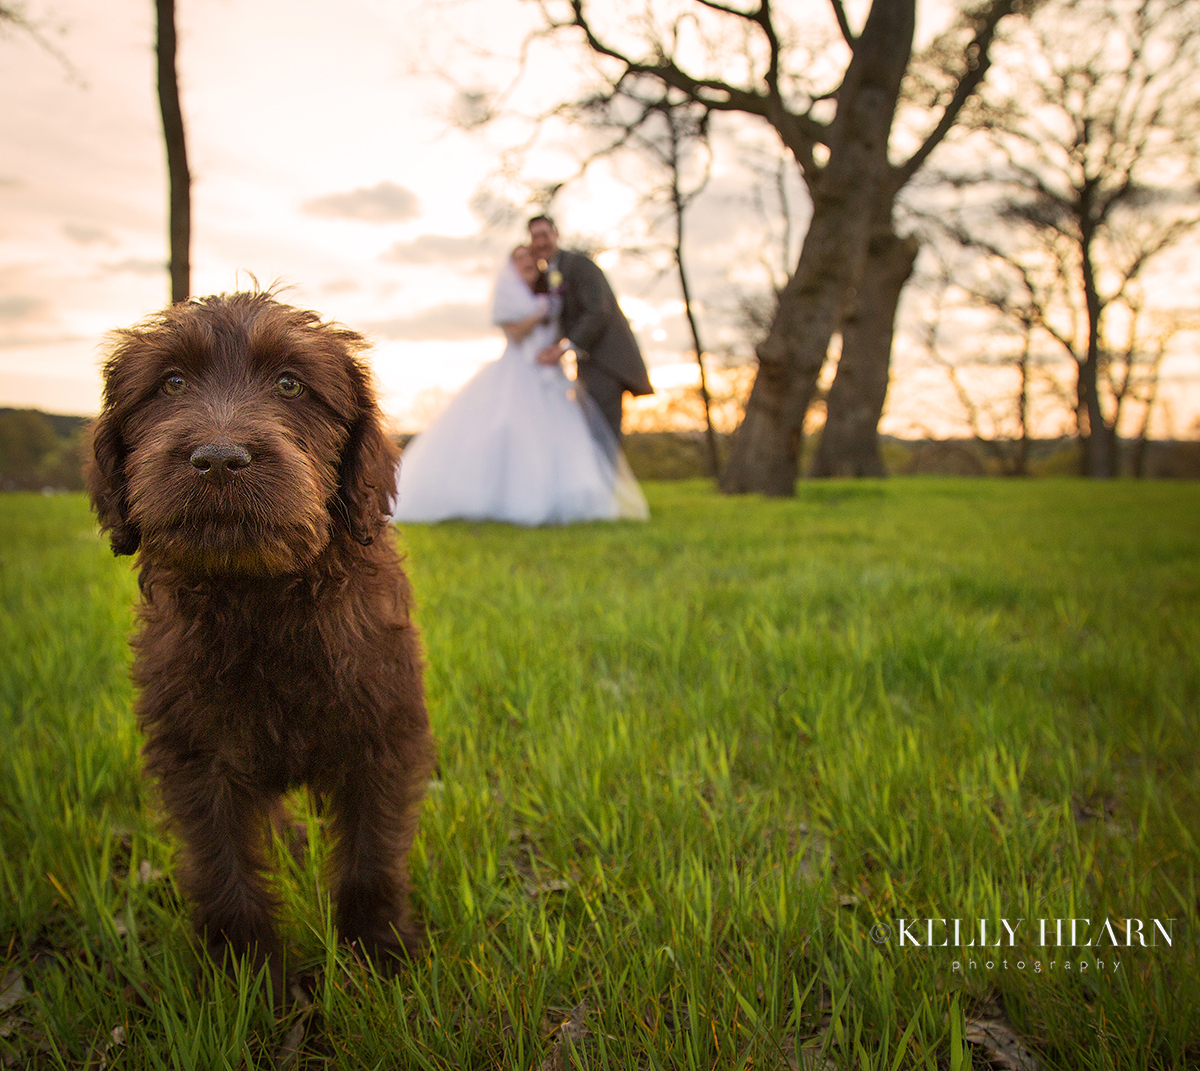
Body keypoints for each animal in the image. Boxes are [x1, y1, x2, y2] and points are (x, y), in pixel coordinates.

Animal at [87, 290, 436, 989]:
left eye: (289, 383)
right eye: (171, 383)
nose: (219, 459)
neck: (261, 596)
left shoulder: (382, 733)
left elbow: (372, 854)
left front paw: (376, 955)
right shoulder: (198, 754)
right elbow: (224, 867)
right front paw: (245, 978)